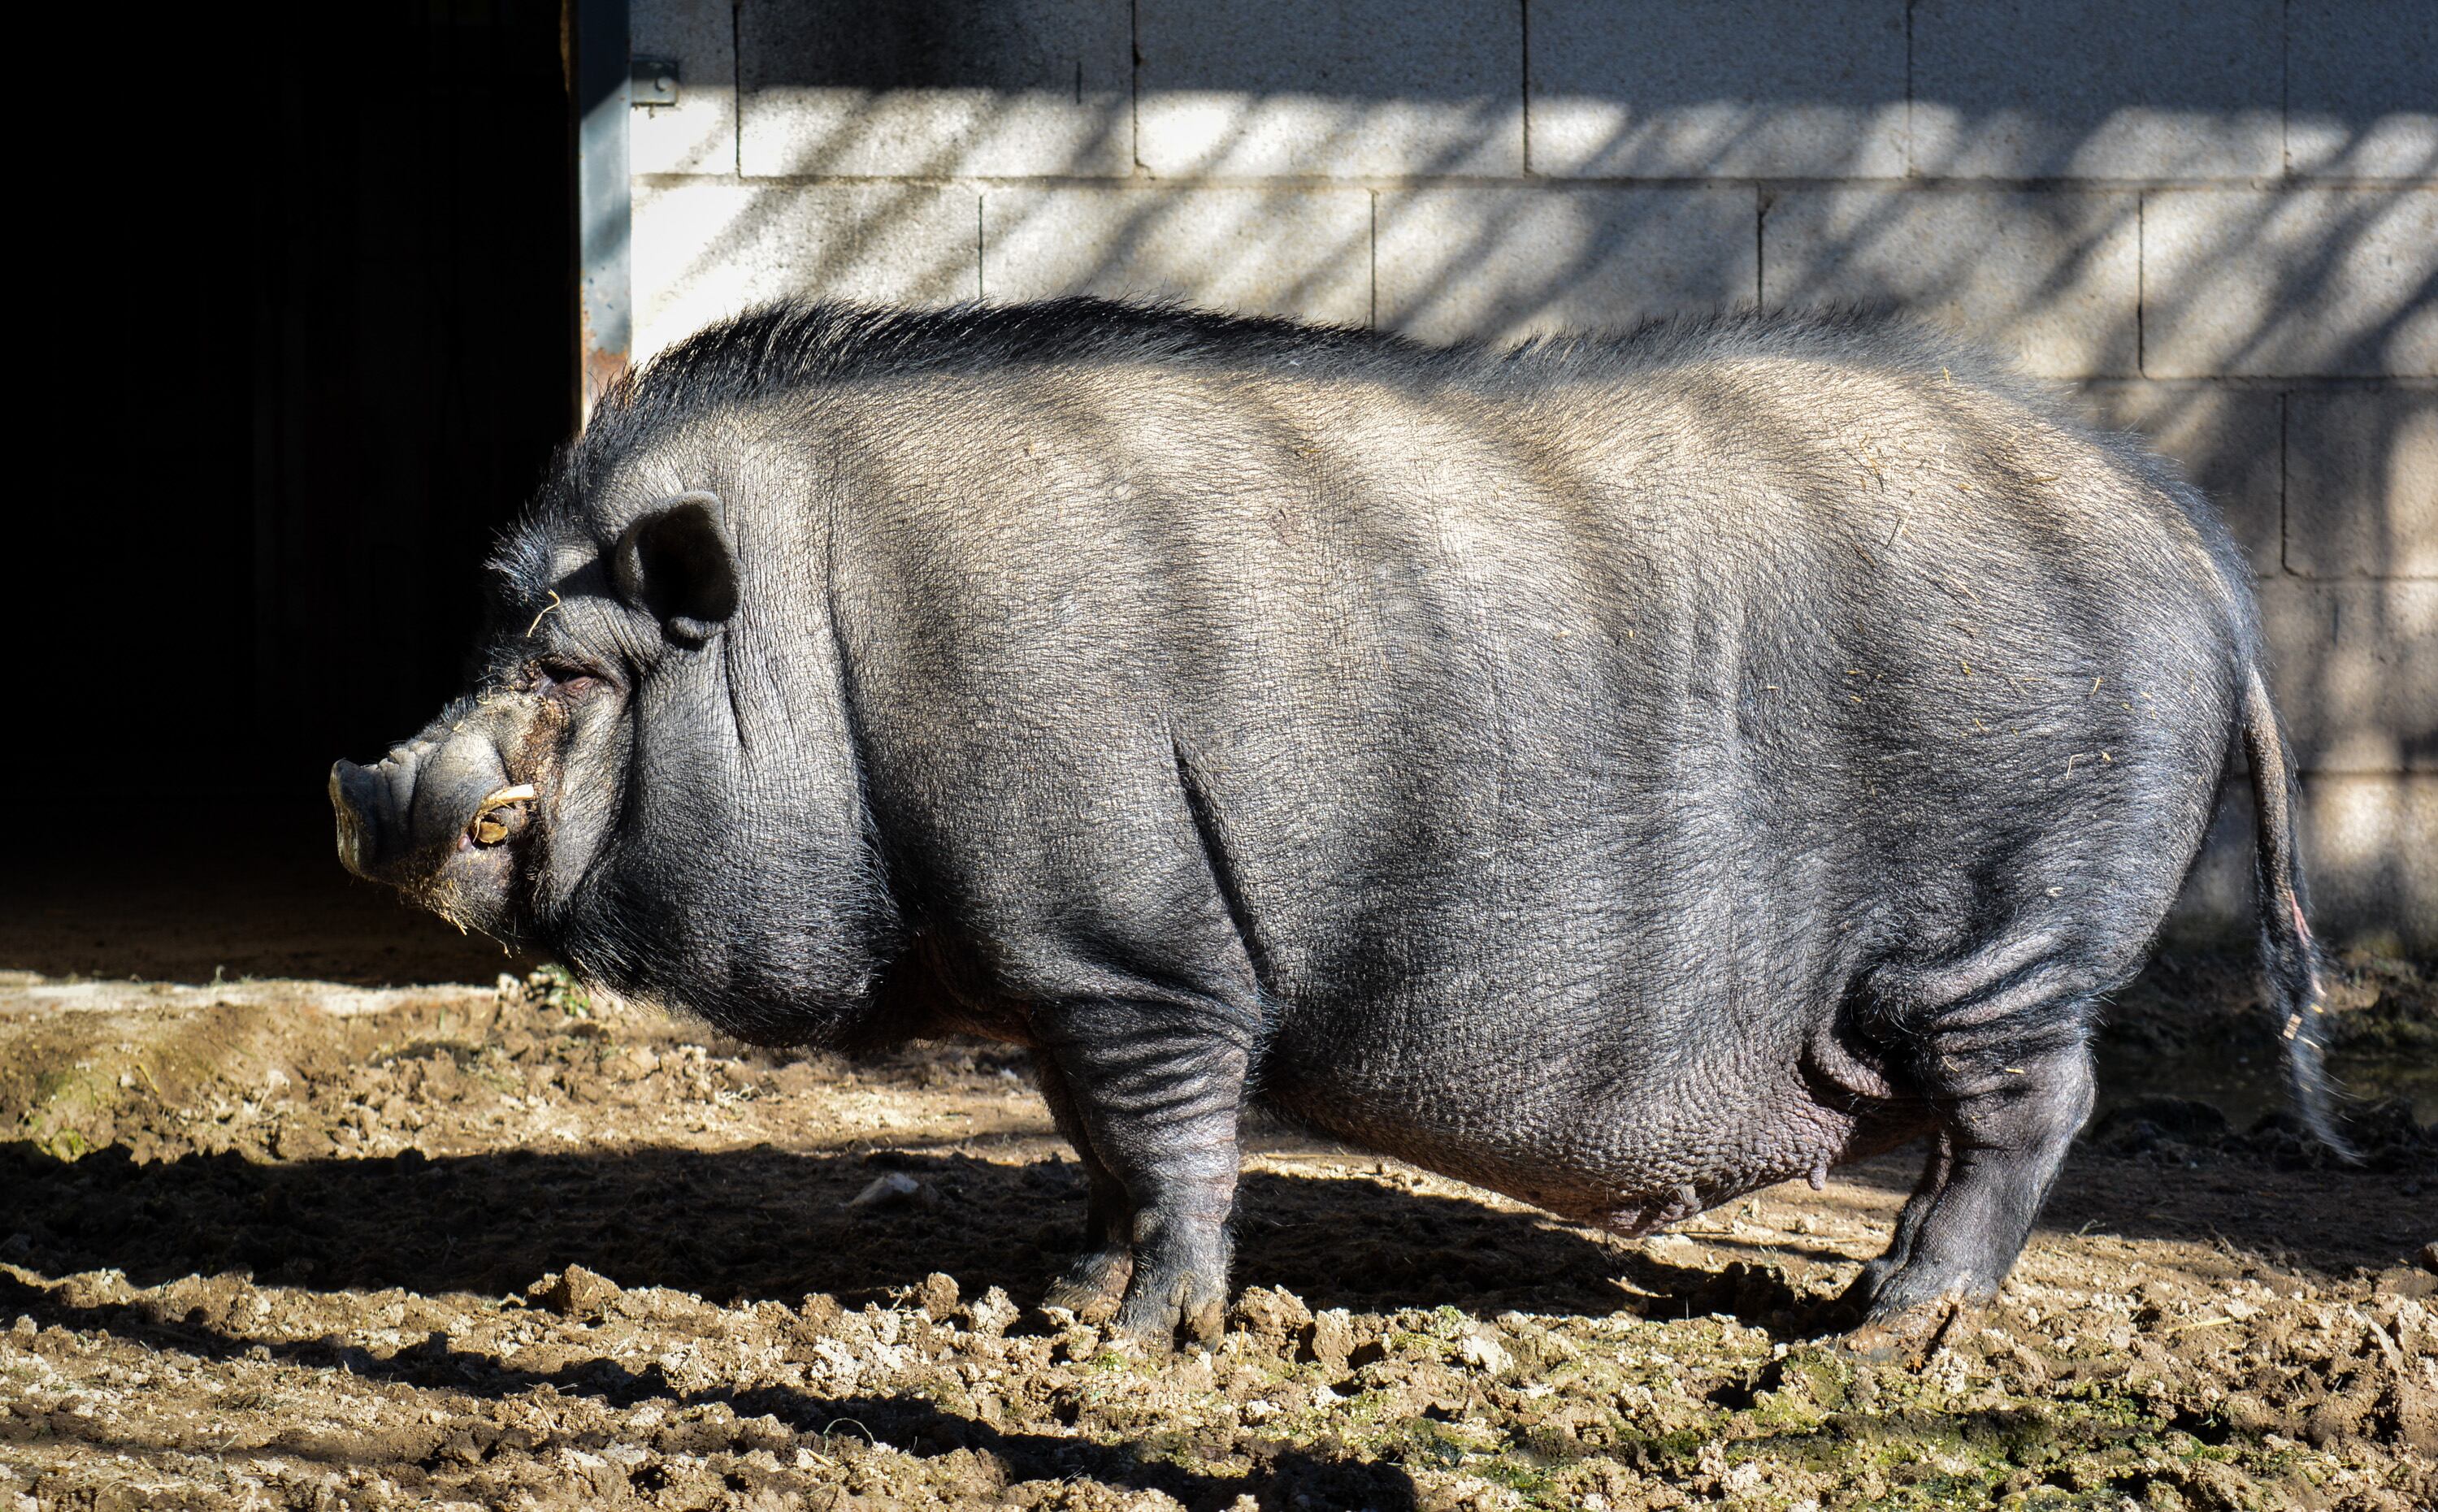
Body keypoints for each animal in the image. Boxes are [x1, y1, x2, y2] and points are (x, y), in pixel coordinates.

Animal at [324, 295, 2340, 1345]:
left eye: (567, 671)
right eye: (501, 641)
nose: (362, 791)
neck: (828, 641)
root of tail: (2210, 568)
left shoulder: (1130, 951)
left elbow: (1176, 1145)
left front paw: (1138, 1339)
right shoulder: (1064, 978)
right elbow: (1103, 1148)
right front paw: (1061, 1297)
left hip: (2004, 923)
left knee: (2033, 1107)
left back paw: (1888, 1323)